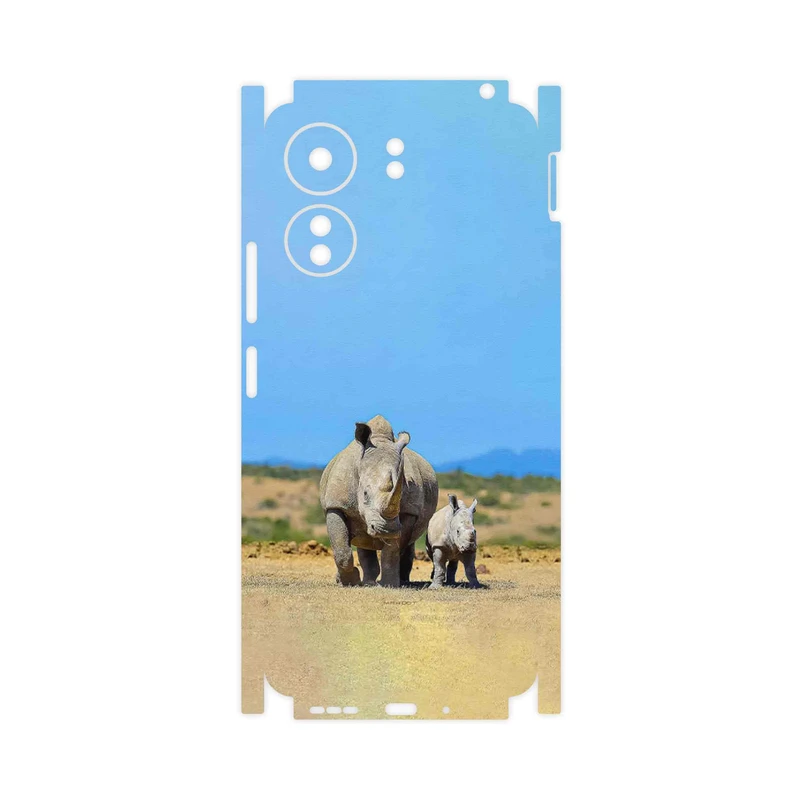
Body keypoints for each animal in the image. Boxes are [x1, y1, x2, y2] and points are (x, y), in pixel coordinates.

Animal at [319, 415, 439, 587]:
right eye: (365, 494)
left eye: (400, 495)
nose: (386, 530)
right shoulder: (336, 504)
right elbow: (341, 549)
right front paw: (349, 581)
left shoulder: (408, 511)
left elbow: (392, 550)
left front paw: (390, 584)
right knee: (362, 540)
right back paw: (366, 582)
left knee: (406, 544)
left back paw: (400, 581)